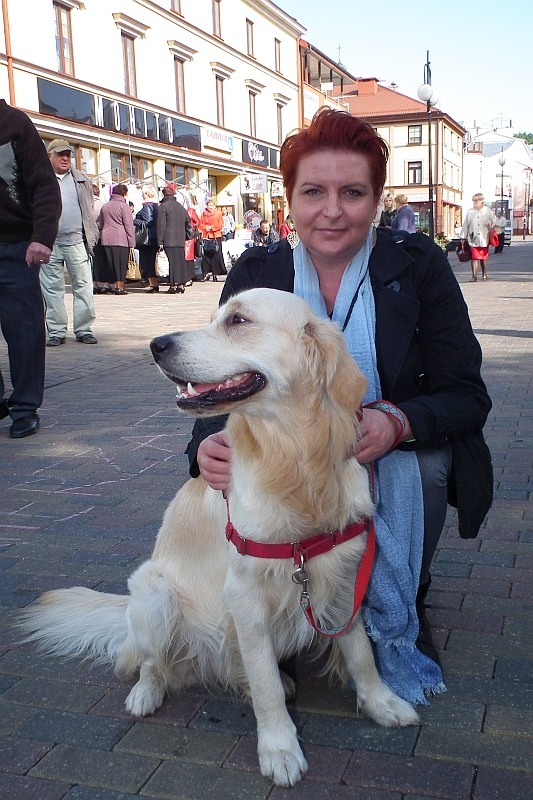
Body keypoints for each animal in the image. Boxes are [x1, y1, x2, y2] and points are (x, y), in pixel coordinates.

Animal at [19, 288, 419, 787]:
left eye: (238, 321)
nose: (156, 345)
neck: (295, 460)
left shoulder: (343, 578)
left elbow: (362, 652)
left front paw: (382, 703)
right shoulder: (245, 594)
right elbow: (265, 684)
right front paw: (280, 748)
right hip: (154, 595)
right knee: (151, 663)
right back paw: (146, 693)